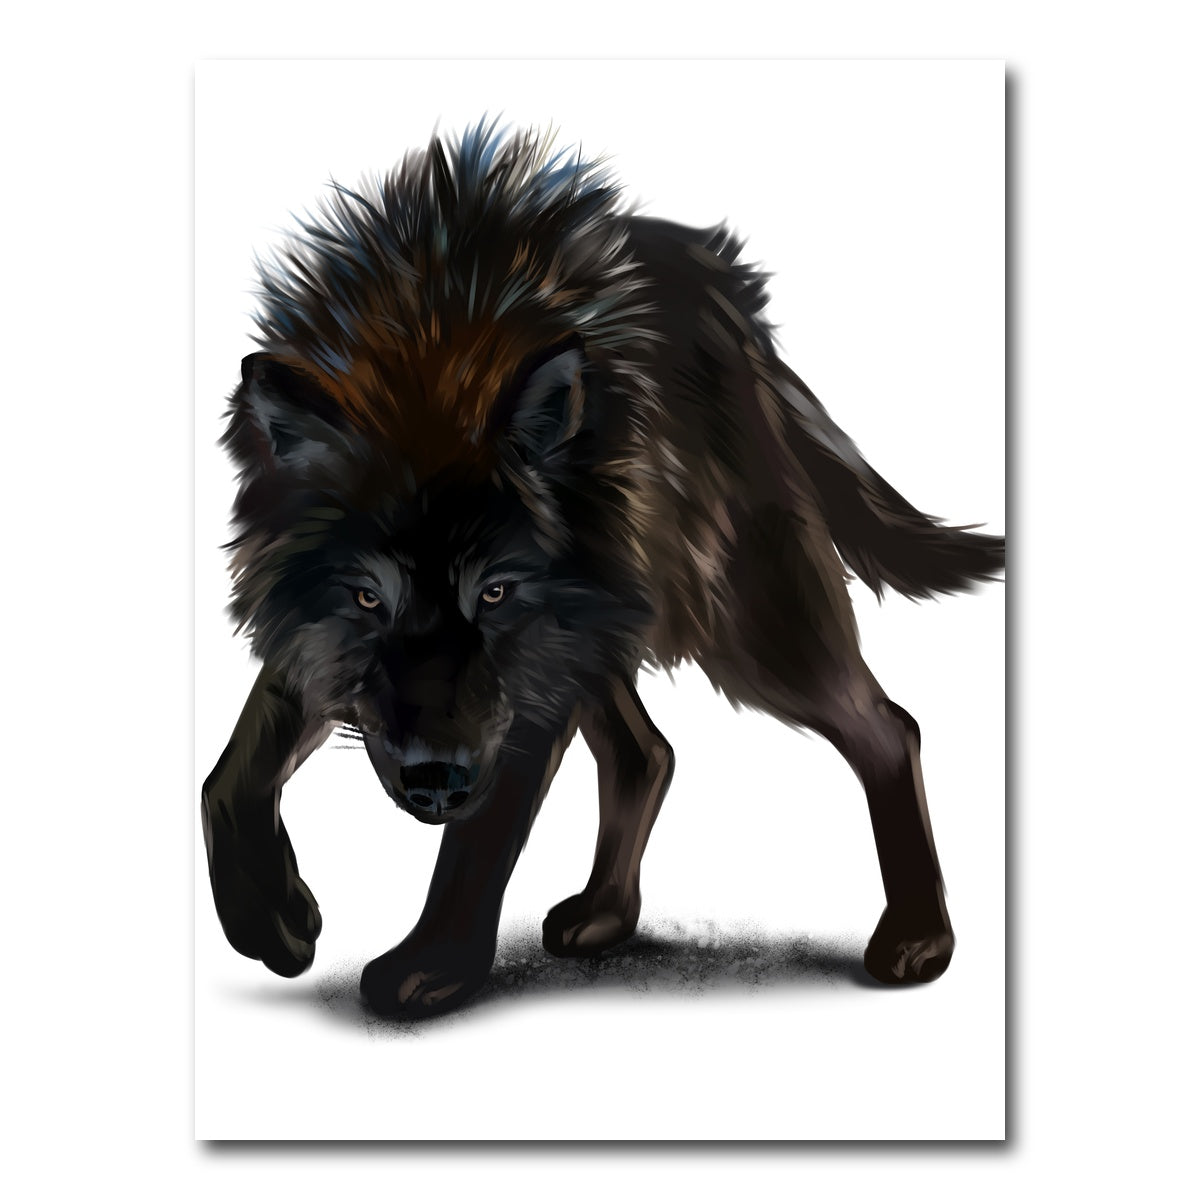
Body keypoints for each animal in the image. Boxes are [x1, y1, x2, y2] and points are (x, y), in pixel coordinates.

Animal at [201, 122, 1004, 1018]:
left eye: (495, 591)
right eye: (369, 597)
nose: (437, 782)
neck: (433, 349)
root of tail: (732, 303)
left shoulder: (525, 683)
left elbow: (479, 841)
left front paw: (431, 964)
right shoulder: (319, 644)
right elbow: (228, 779)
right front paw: (271, 920)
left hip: (743, 623)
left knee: (888, 728)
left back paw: (919, 939)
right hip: (610, 626)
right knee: (647, 753)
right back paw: (605, 916)